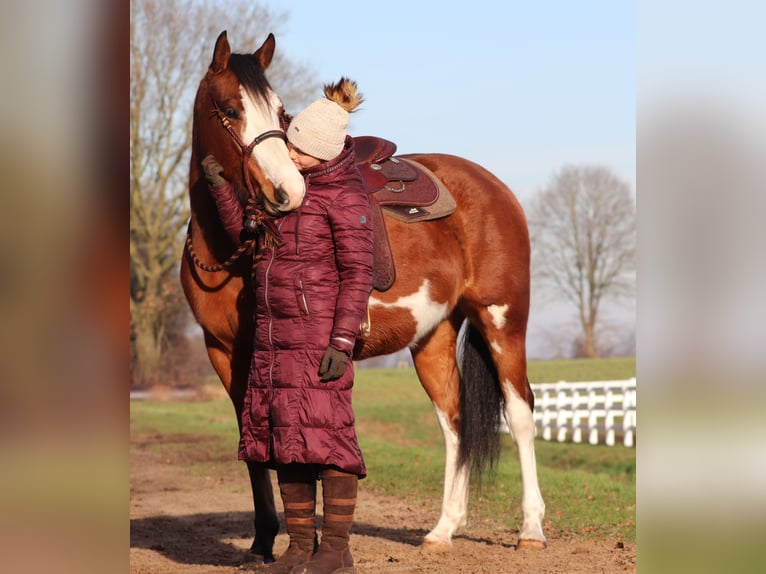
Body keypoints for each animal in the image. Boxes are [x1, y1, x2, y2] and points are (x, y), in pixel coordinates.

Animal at [180, 31, 547, 561]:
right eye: (230, 109)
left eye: (280, 111)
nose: (287, 192)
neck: (229, 248)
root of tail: (494, 187)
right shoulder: (225, 353)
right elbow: (253, 448)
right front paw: (264, 540)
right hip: (434, 336)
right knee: (454, 422)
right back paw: (443, 529)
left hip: (502, 321)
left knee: (519, 415)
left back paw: (531, 528)